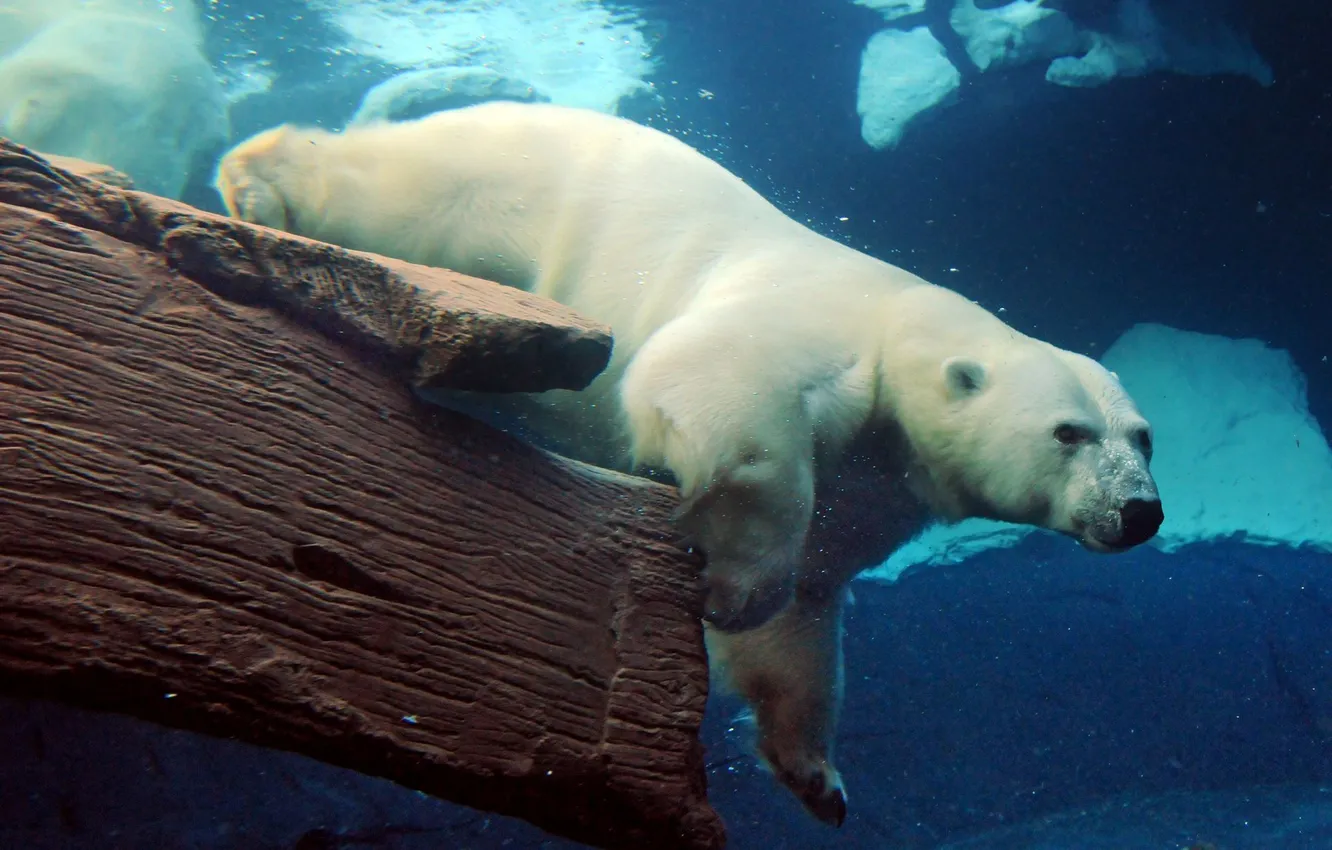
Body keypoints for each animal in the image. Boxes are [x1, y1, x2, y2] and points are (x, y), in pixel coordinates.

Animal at [212, 101, 1164, 826]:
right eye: (1069, 433)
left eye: (1143, 437)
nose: (1140, 512)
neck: (903, 332)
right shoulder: (826, 332)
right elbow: (714, 379)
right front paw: (737, 583)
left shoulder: (880, 486)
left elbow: (810, 610)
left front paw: (818, 777)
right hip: (499, 182)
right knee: (384, 188)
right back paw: (258, 180)